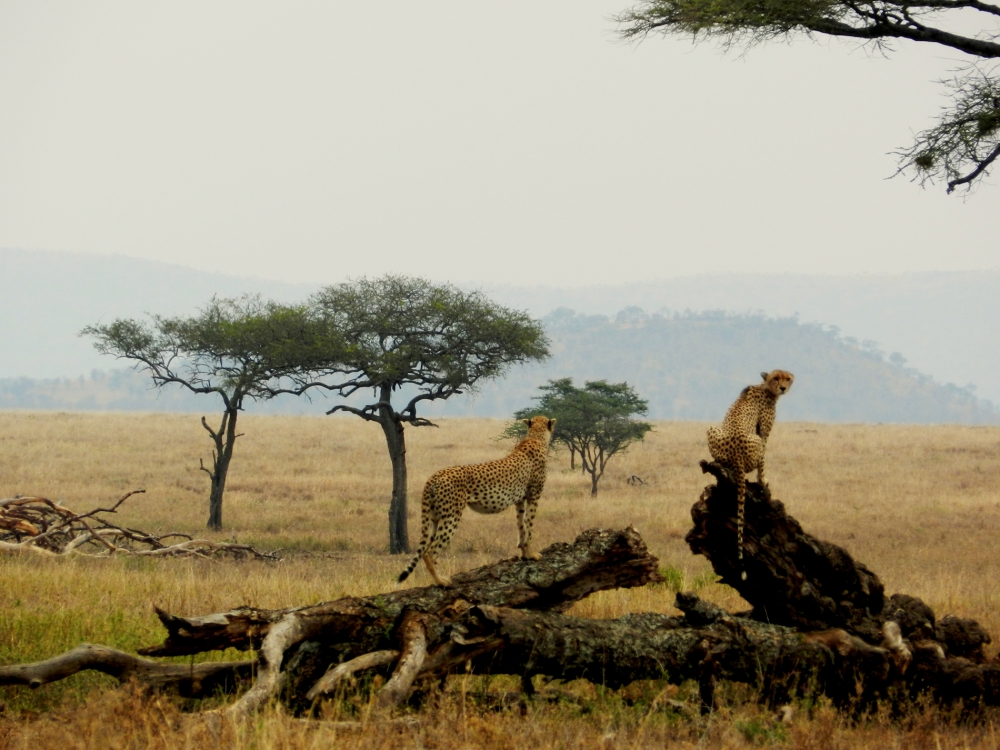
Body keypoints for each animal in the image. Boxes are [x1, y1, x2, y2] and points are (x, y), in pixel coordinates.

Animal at [396, 418, 556, 588]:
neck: (536, 437)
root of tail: (435, 476)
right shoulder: (534, 496)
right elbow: (529, 526)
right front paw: (532, 554)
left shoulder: (519, 501)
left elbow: (521, 527)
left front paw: (525, 553)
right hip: (451, 517)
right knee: (430, 552)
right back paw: (441, 581)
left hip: (434, 518)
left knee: (425, 549)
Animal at [708, 370, 792, 580]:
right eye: (776, 378)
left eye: (787, 378)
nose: (783, 388)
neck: (764, 386)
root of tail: (736, 456)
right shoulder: (763, 432)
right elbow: (763, 461)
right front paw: (763, 480)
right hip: (754, 441)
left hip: (711, 429)